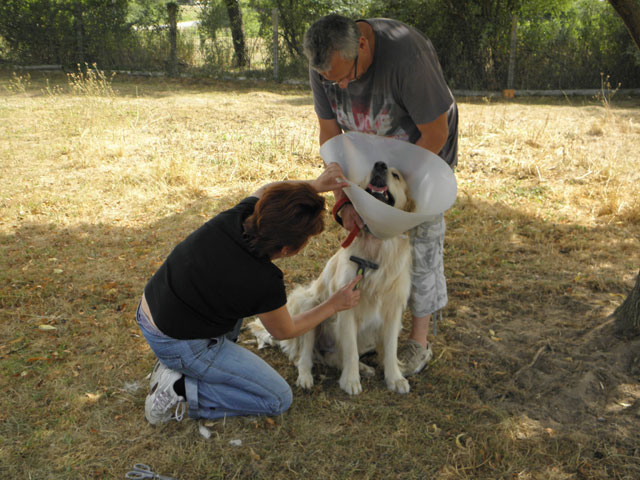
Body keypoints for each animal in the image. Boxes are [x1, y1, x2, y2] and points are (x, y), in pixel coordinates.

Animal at [250, 161, 416, 394]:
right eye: (371, 169)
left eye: (396, 175)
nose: (380, 164)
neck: (375, 248)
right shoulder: (346, 308)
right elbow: (351, 350)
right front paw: (351, 381)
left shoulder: (393, 309)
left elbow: (390, 348)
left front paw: (394, 377)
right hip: (307, 303)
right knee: (304, 357)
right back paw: (306, 378)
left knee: (332, 357)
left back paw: (363, 368)